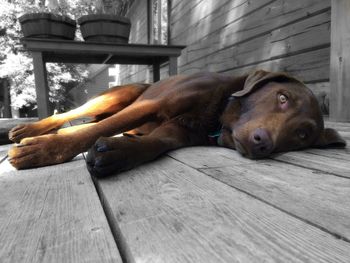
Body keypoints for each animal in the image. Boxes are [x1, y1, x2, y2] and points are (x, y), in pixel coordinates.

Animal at [6, 71, 346, 176]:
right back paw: (28, 130)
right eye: (282, 97)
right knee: (73, 117)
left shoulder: (178, 132)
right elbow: (94, 130)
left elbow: (154, 143)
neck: (217, 112)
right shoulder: (150, 105)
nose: (263, 143)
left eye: (302, 134)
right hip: (121, 96)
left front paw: (118, 153)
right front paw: (43, 150)